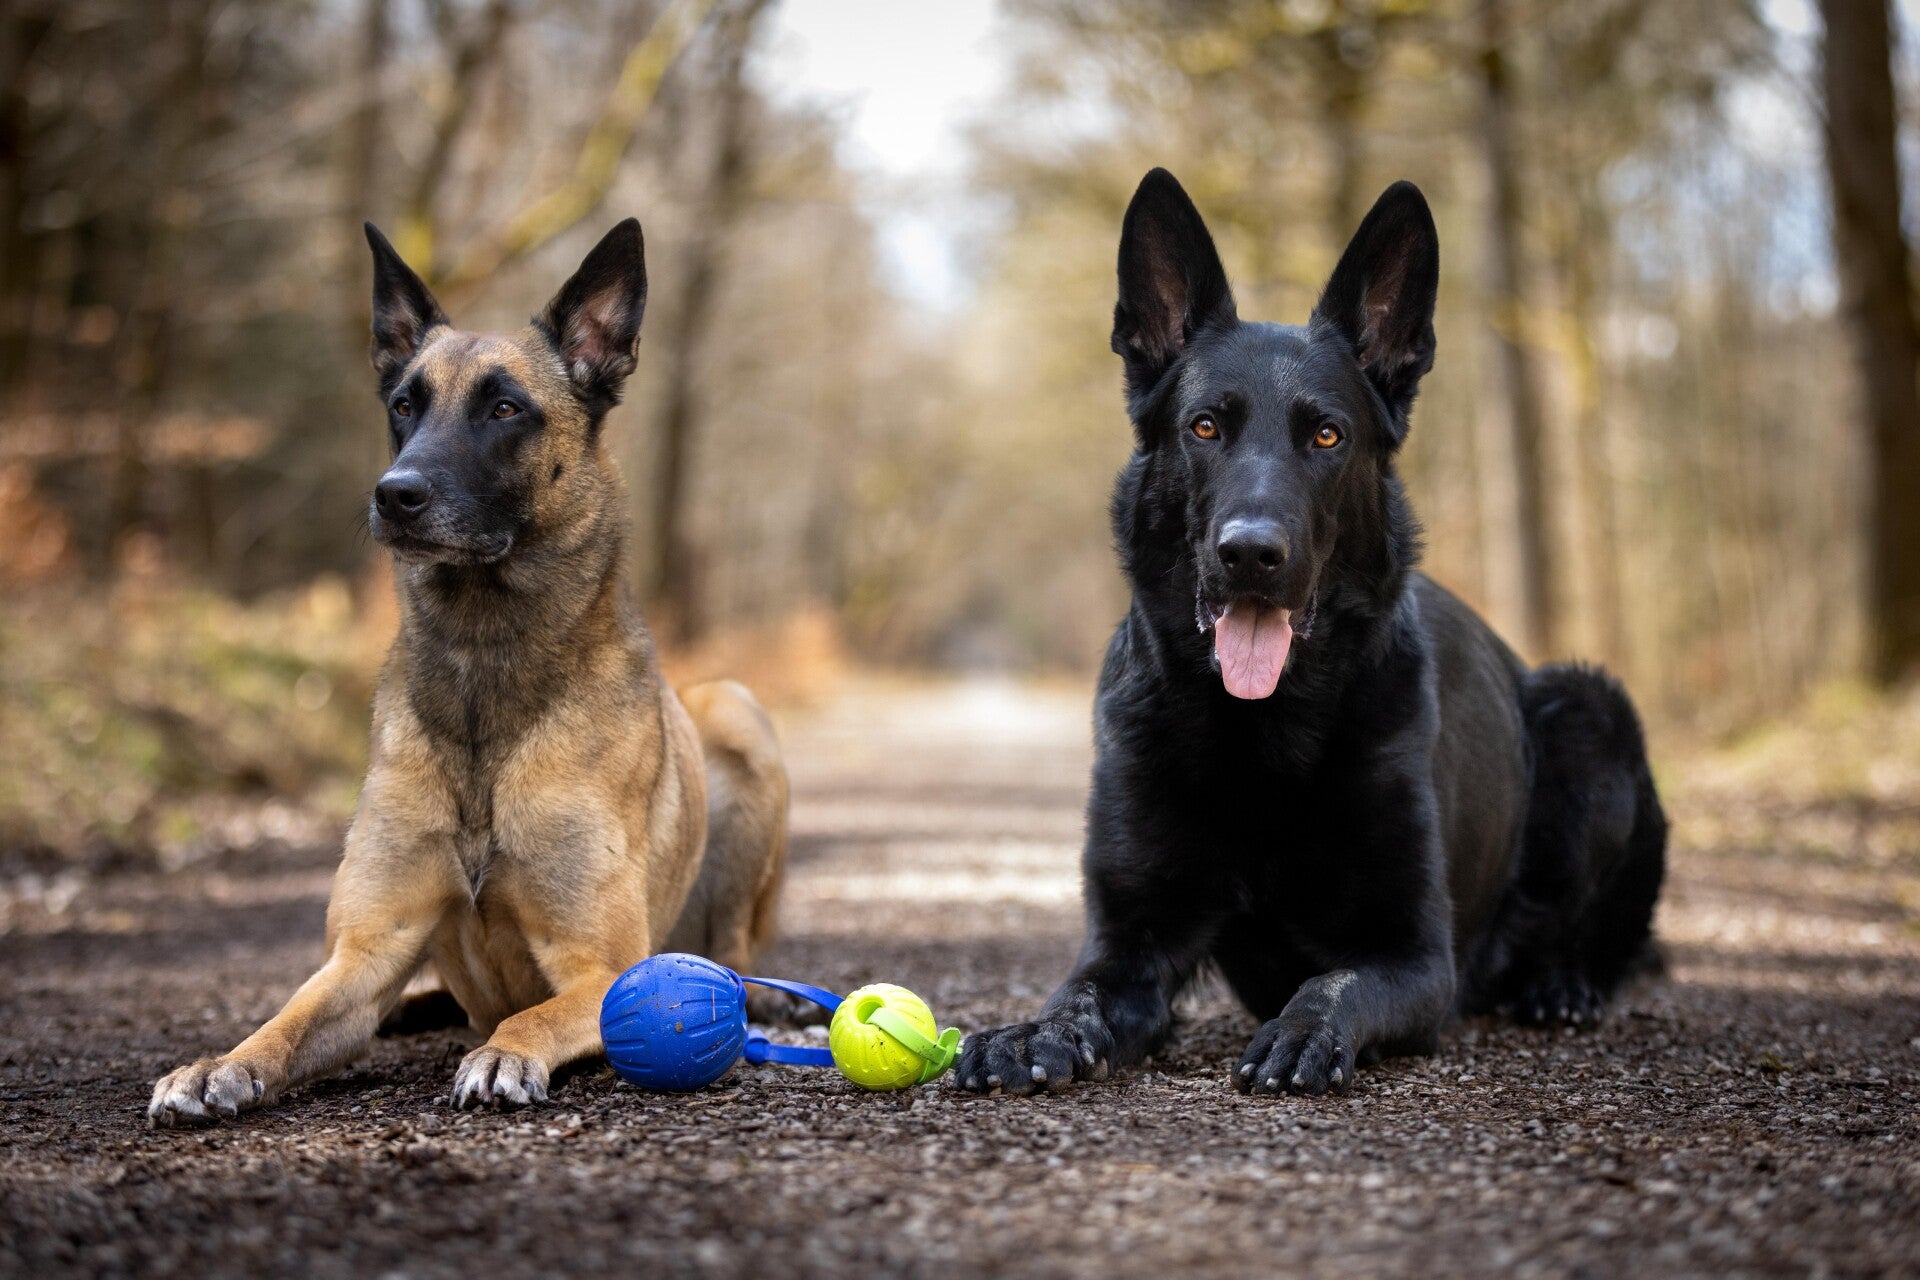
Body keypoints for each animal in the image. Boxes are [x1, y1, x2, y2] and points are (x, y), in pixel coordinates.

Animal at [149, 219, 790, 1125]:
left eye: (505, 408)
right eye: (403, 405)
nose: (395, 494)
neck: (483, 669)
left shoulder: (599, 967)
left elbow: (534, 1014)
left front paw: (503, 1054)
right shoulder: (368, 950)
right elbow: (287, 1021)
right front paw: (218, 1064)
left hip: (737, 716)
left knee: (736, 940)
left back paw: (761, 993)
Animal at [957, 170, 1666, 1099]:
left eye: (1327, 435)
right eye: (1205, 427)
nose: (1251, 554)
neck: (1261, 733)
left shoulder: (1413, 955)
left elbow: (1335, 982)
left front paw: (1303, 1031)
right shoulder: (1128, 943)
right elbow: (1076, 993)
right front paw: (1029, 1031)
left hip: (1590, 708)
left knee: (1599, 943)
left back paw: (1561, 985)